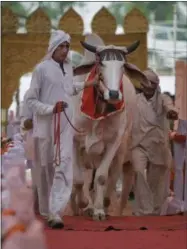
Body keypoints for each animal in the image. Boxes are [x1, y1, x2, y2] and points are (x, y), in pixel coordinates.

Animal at [70, 37, 149, 220]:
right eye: (101, 63)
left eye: (122, 65)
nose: (113, 94)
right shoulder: (74, 141)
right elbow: (77, 179)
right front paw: (83, 203)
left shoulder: (113, 143)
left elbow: (101, 177)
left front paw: (99, 210)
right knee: (85, 177)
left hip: (121, 151)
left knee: (112, 177)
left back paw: (103, 204)